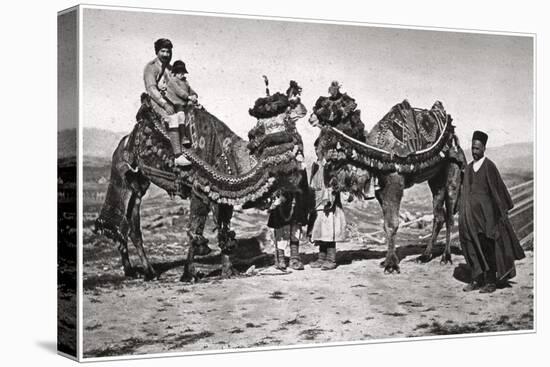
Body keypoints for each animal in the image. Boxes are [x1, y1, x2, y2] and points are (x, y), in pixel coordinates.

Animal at [96, 81, 310, 282]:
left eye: (286, 116)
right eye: (266, 124)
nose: (303, 109)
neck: (232, 157)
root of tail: (125, 140)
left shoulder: (222, 196)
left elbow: (224, 230)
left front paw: (228, 271)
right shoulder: (199, 190)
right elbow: (195, 231)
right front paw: (189, 275)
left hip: (139, 184)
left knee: (130, 225)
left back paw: (140, 271)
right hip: (120, 173)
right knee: (119, 217)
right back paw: (142, 271)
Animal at [310, 83, 466, 274]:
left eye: (332, 105)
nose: (311, 116)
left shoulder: (394, 180)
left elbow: (392, 223)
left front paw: (391, 265)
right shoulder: (381, 187)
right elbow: (386, 224)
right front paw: (386, 261)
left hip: (453, 168)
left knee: (450, 214)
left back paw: (446, 257)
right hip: (435, 179)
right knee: (439, 215)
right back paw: (424, 256)